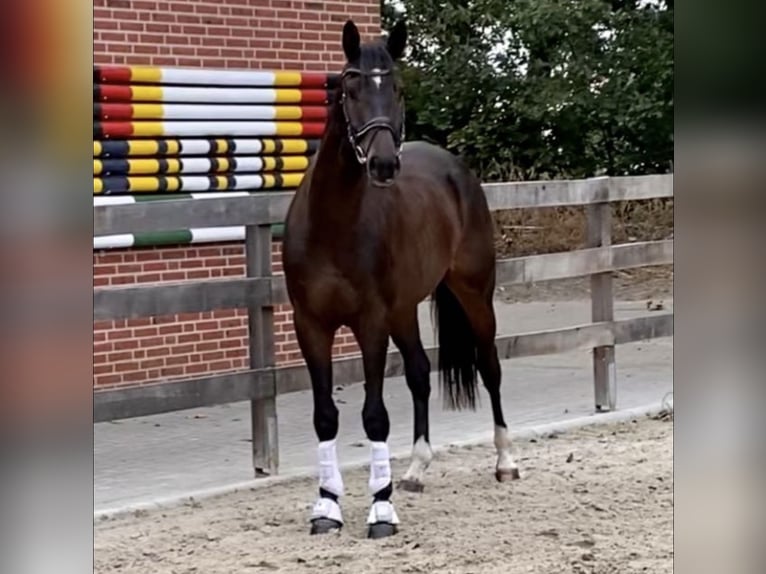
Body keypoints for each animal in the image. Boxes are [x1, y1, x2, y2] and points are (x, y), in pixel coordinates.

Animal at [282, 18, 520, 540]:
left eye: (397, 88)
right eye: (350, 87)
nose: (384, 164)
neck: (333, 225)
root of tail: (455, 168)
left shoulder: (370, 322)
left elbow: (374, 416)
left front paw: (380, 510)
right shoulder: (311, 325)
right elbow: (325, 416)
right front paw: (327, 506)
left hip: (474, 294)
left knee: (490, 367)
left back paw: (506, 461)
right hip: (405, 310)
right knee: (418, 374)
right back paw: (414, 469)